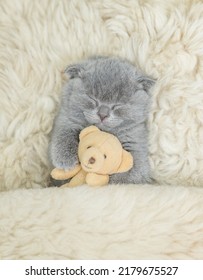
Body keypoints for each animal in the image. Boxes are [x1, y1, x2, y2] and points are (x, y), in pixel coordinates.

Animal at [50, 56, 155, 184]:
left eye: (117, 105)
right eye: (92, 99)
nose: (103, 114)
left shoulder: (135, 138)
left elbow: (133, 165)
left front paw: (117, 182)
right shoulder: (67, 119)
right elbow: (63, 135)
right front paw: (66, 160)